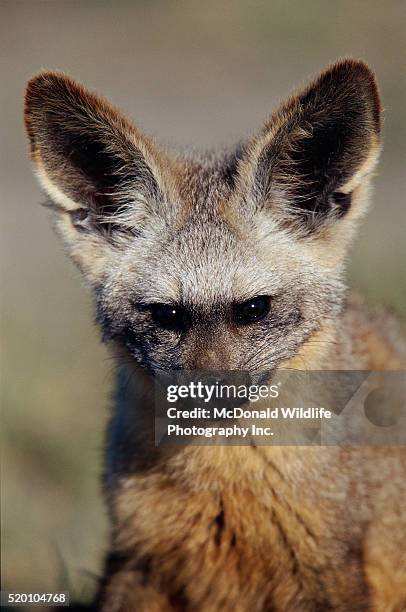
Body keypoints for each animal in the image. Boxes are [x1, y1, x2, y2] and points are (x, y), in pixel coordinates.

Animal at [25, 58, 406, 612]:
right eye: (165, 314)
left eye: (254, 309)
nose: (206, 397)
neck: (218, 486)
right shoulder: (137, 561)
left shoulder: (329, 573)